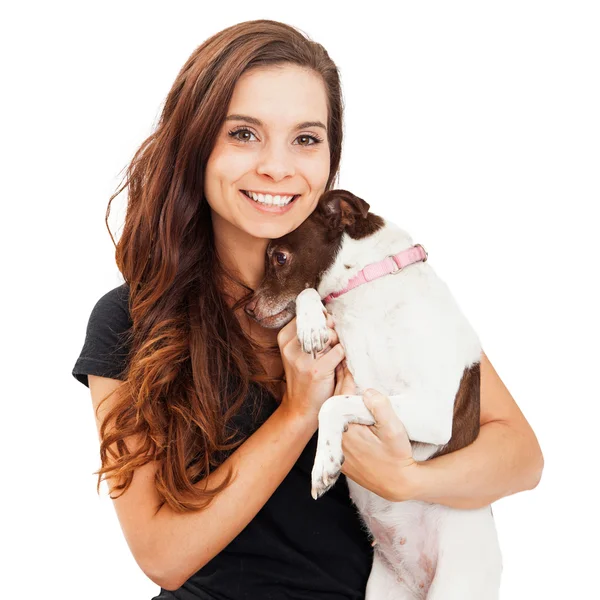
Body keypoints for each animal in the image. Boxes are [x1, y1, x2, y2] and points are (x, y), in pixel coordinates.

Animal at [244, 190, 502, 596]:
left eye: (279, 257)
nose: (249, 310)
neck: (368, 285)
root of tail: (418, 582)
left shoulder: (431, 413)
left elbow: (334, 405)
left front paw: (324, 465)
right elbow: (308, 294)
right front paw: (312, 324)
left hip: (457, 583)